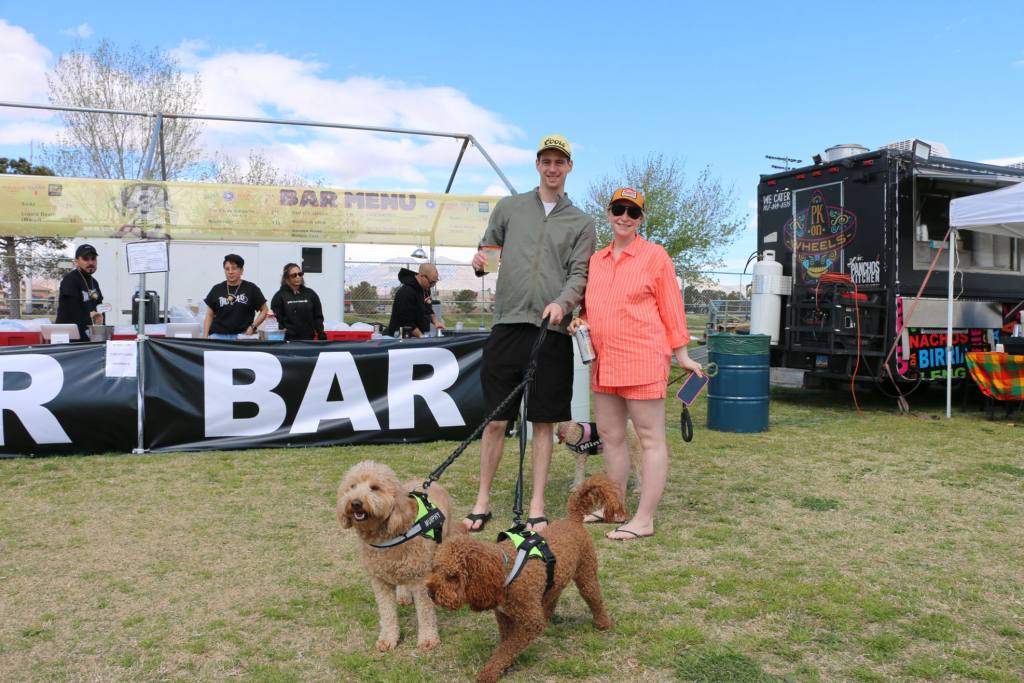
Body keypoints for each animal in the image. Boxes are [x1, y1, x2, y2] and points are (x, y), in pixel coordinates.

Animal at [335, 458, 460, 651]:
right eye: (352, 486)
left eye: (375, 488)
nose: (355, 503)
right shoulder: (380, 581)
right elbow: (387, 613)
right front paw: (388, 638)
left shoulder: (419, 578)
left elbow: (425, 613)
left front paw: (428, 639)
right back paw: (403, 595)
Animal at [423, 475, 622, 683]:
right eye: (435, 569)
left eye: (452, 576)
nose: (430, 592)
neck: (506, 570)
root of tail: (572, 519)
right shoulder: (503, 615)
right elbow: (506, 643)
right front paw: (505, 665)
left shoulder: (529, 623)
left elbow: (508, 647)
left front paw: (490, 671)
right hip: (556, 580)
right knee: (554, 595)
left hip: (586, 574)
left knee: (594, 598)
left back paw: (603, 623)